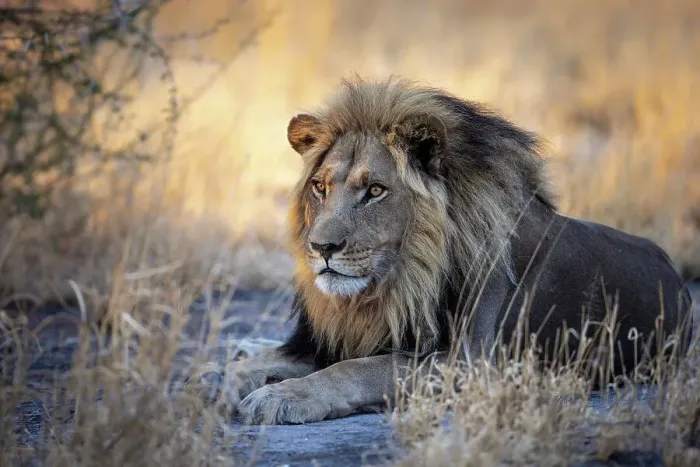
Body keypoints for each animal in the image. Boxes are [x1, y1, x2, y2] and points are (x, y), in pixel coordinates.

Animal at [185, 76, 694, 425]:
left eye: (374, 190)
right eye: (319, 187)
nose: (321, 247)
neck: (394, 285)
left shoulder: (471, 365)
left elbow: (359, 369)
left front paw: (282, 396)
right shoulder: (339, 336)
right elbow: (278, 360)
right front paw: (217, 374)